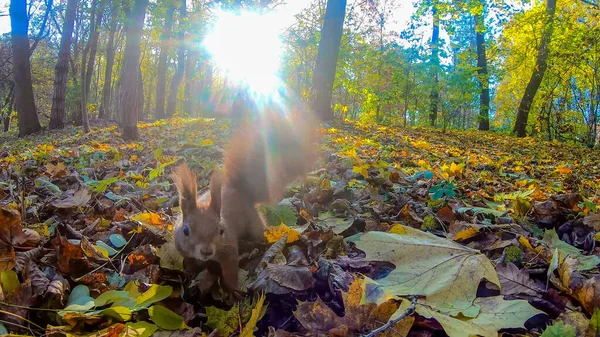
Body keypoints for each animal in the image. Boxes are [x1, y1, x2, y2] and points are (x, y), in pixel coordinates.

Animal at [171, 109, 322, 288]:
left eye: (221, 230)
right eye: (186, 231)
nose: (206, 251)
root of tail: (240, 190)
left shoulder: (228, 248)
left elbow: (230, 270)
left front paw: (232, 290)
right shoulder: (181, 247)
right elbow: (188, 261)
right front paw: (189, 272)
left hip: (254, 223)